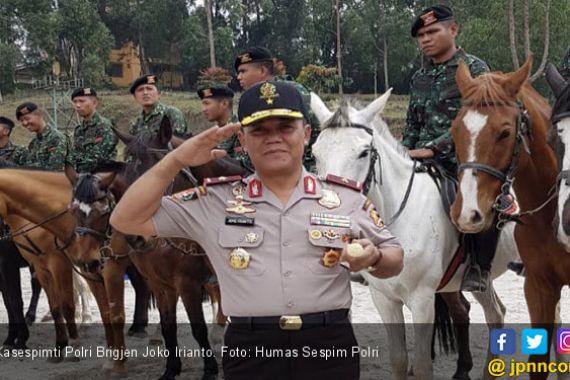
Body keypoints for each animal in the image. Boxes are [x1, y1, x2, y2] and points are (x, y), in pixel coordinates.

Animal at [308, 91, 516, 380]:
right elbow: (398, 359)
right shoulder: (384, 299)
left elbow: (421, 365)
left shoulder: (422, 300)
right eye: (316, 153)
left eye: (363, 152)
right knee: (495, 314)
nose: (333, 209)